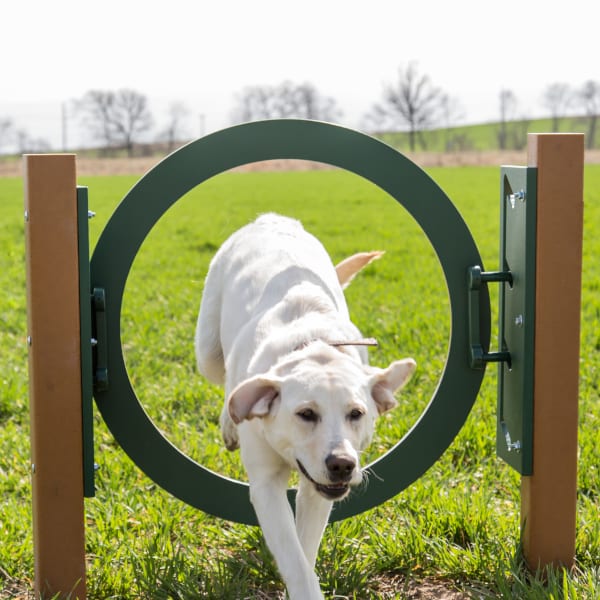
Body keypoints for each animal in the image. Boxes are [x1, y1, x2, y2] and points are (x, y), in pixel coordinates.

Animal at [195, 213, 414, 596]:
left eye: (356, 414)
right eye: (306, 414)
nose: (342, 464)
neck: (312, 346)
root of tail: (271, 218)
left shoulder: (316, 491)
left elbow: (304, 548)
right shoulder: (266, 483)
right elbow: (293, 558)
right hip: (207, 348)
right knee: (226, 382)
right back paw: (229, 420)